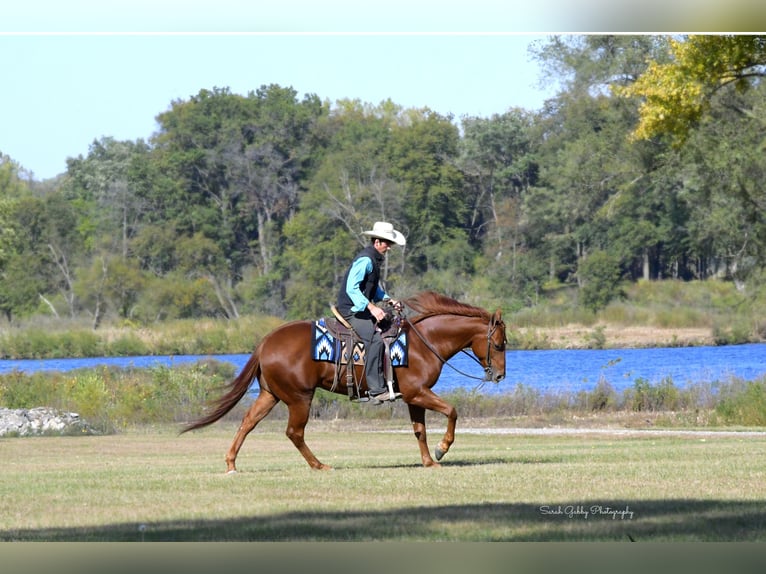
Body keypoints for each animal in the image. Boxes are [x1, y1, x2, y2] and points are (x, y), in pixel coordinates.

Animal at [181, 291, 507, 471]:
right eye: (499, 344)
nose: (500, 375)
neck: (422, 343)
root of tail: (265, 343)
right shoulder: (418, 392)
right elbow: (452, 411)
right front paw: (442, 449)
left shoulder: (414, 396)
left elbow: (419, 431)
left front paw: (428, 460)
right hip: (300, 398)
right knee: (294, 432)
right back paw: (319, 465)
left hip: (270, 394)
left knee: (248, 423)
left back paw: (231, 463)